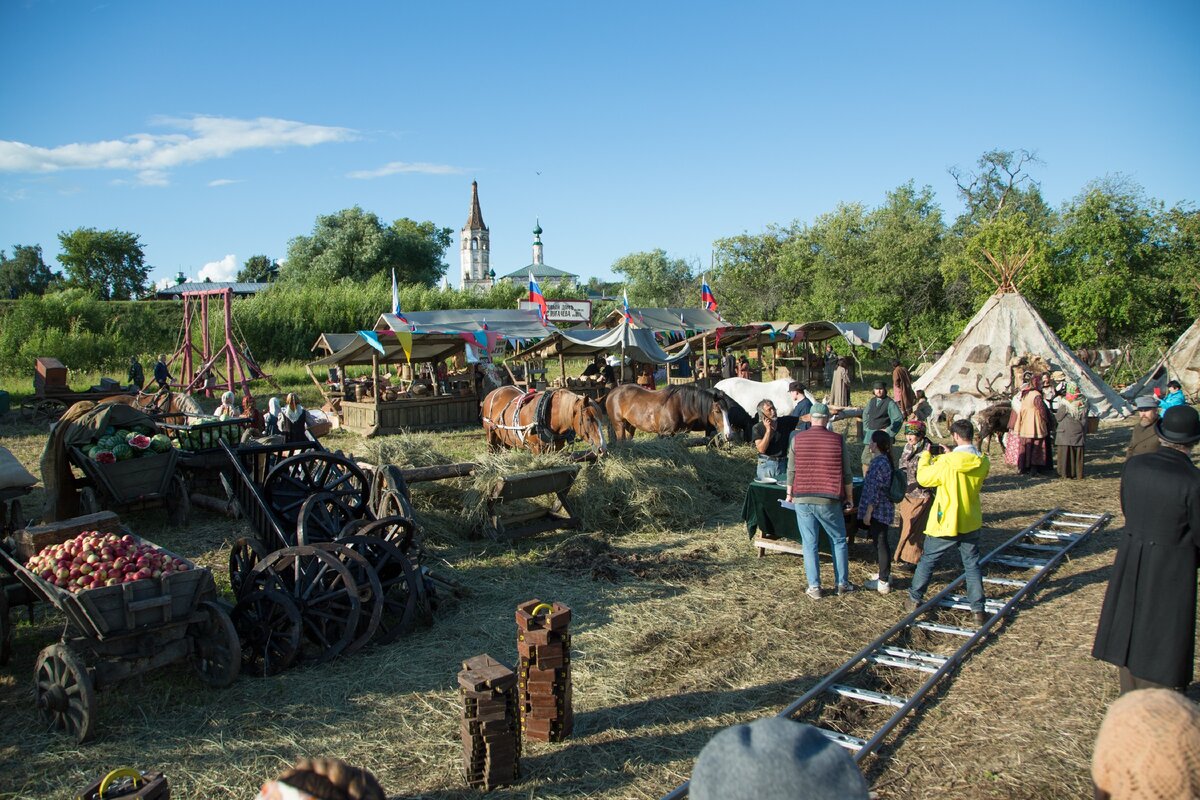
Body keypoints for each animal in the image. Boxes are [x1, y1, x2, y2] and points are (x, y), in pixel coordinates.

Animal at [480, 388, 609, 453]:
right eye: (588, 419)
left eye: (601, 419)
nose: (602, 448)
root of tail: (491, 393)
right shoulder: (536, 448)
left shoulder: (557, 448)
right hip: (490, 435)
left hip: (504, 438)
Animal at [604, 383, 734, 441]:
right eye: (717, 411)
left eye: (728, 410)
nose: (729, 435)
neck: (680, 406)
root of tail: (612, 393)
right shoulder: (665, 434)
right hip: (619, 425)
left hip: (631, 426)